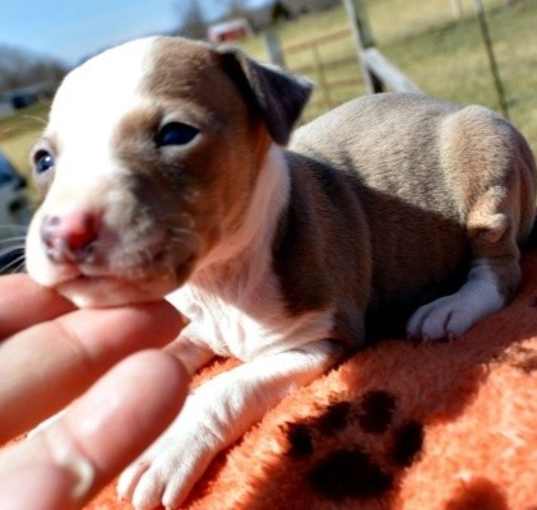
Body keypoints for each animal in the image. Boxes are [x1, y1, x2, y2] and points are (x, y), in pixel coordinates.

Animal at [24, 36, 536, 510]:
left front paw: (169, 444)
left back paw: (450, 309)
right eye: (43, 160)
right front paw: (68, 415)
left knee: (500, 269)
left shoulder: (320, 338)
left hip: (486, 155)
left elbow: (226, 385)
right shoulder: (201, 329)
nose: (63, 232)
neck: (220, 279)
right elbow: (165, 352)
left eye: (175, 134)